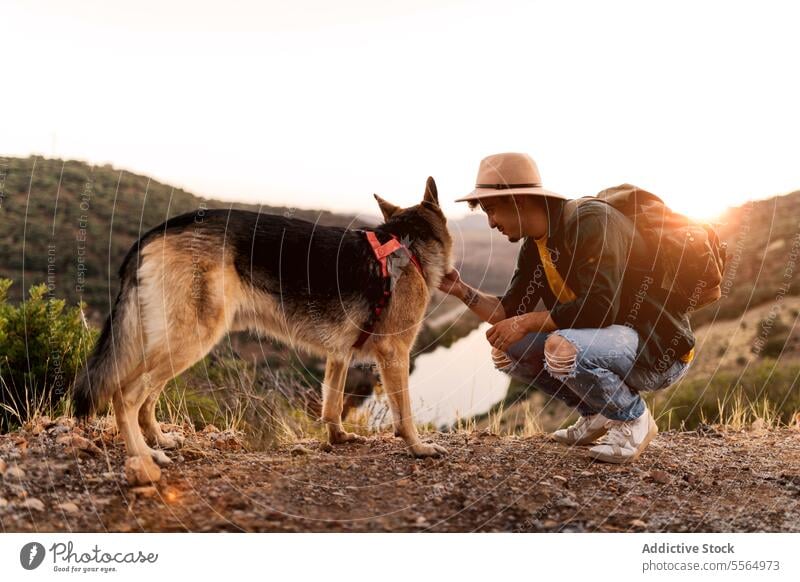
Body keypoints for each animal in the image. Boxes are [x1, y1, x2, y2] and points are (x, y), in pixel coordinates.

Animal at [74, 177, 454, 466]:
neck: (406, 242)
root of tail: (157, 231)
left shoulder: (338, 357)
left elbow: (332, 405)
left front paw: (339, 438)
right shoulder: (395, 353)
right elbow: (404, 412)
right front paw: (418, 447)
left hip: (171, 342)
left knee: (145, 397)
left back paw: (159, 439)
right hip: (191, 338)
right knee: (125, 395)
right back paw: (143, 454)